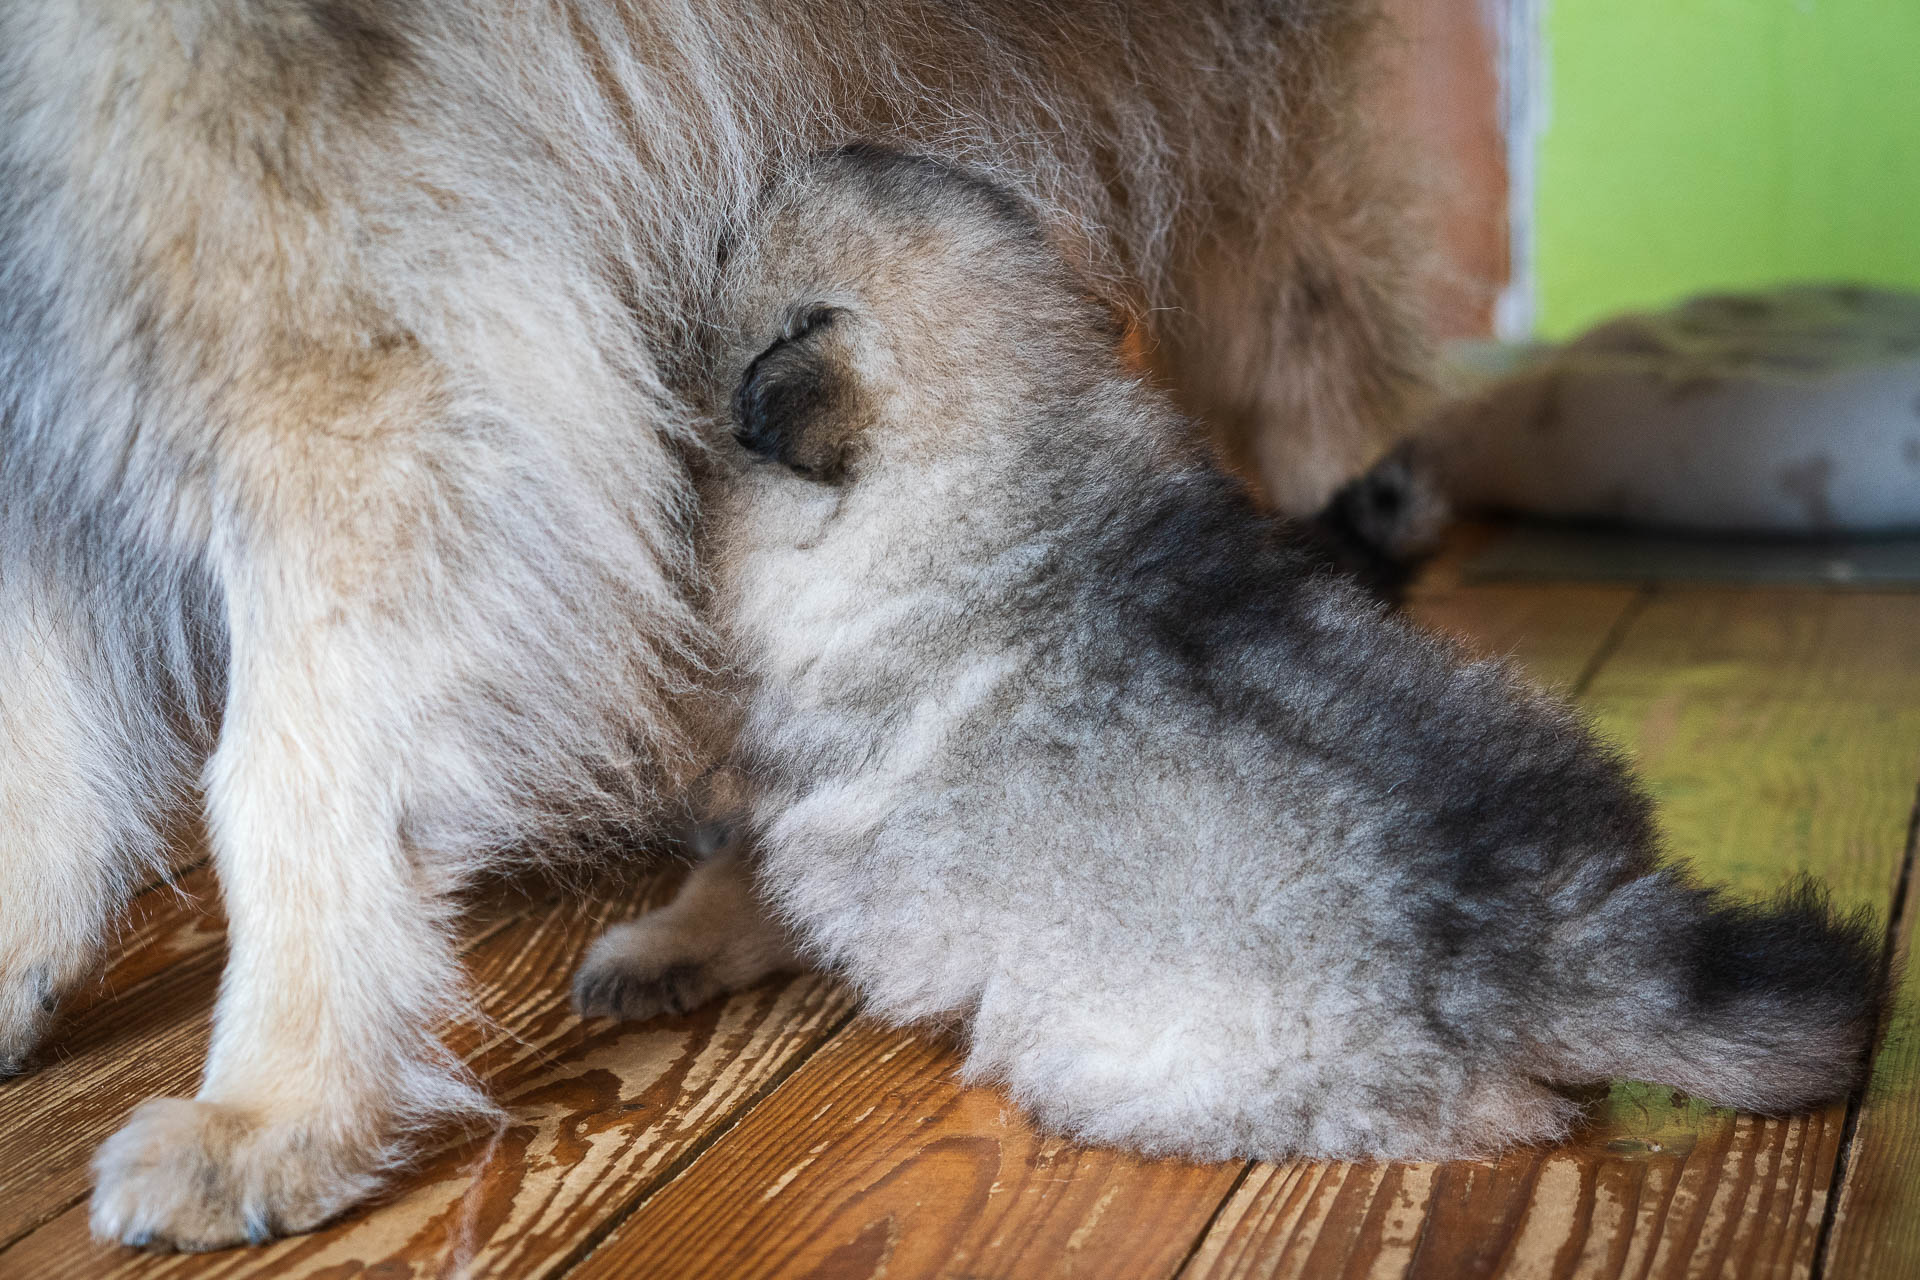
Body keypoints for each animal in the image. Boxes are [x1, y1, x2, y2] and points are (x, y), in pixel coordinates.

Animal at [576, 147, 1881, 1159]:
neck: (1011, 483)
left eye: (734, 241)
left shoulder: (796, 795)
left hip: (1128, 1053)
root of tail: (1550, 939)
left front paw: (658, 938)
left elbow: (741, 874)